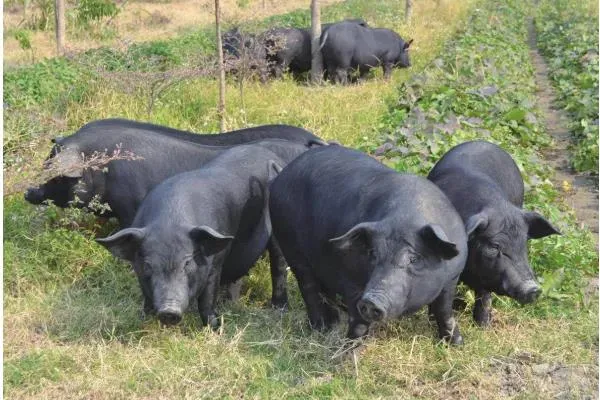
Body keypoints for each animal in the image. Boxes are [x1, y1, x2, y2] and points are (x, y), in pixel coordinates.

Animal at [268, 147, 468, 344]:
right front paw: (349, 349)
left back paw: (333, 322)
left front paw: (456, 343)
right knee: (308, 287)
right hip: (290, 244)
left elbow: (444, 310)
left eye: (414, 258)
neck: (407, 215)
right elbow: (358, 321)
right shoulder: (350, 278)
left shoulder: (452, 278)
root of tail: (282, 173)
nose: (372, 301)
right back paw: (320, 328)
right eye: (373, 254)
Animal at [428, 142, 560, 326]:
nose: (533, 289)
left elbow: (485, 296)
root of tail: (484, 142)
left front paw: (483, 326)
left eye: (524, 244)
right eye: (494, 246)